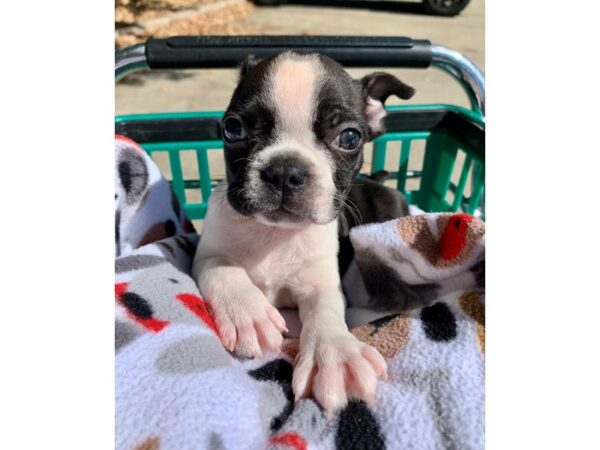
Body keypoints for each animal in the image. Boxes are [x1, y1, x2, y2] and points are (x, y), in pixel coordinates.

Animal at [192, 51, 412, 416]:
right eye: (232, 129)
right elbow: (224, 269)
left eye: (349, 138)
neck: (276, 236)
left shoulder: (321, 280)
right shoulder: (207, 252)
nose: (284, 170)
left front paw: (335, 354)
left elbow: (326, 310)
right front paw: (248, 314)